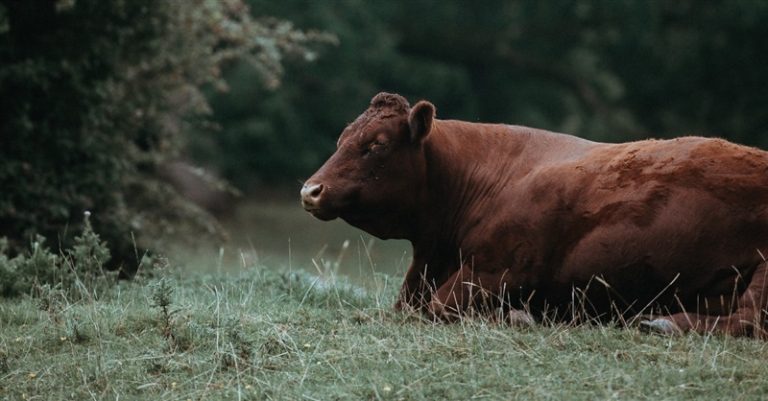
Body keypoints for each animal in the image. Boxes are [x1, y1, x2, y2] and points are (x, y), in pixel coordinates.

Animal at [300, 92, 768, 337]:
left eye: (376, 144)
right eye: (341, 138)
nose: (310, 190)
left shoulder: (493, 271)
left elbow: (435, 307)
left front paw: (518, 315)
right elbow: (410, 304)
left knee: (750, 318)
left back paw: (662, 322)